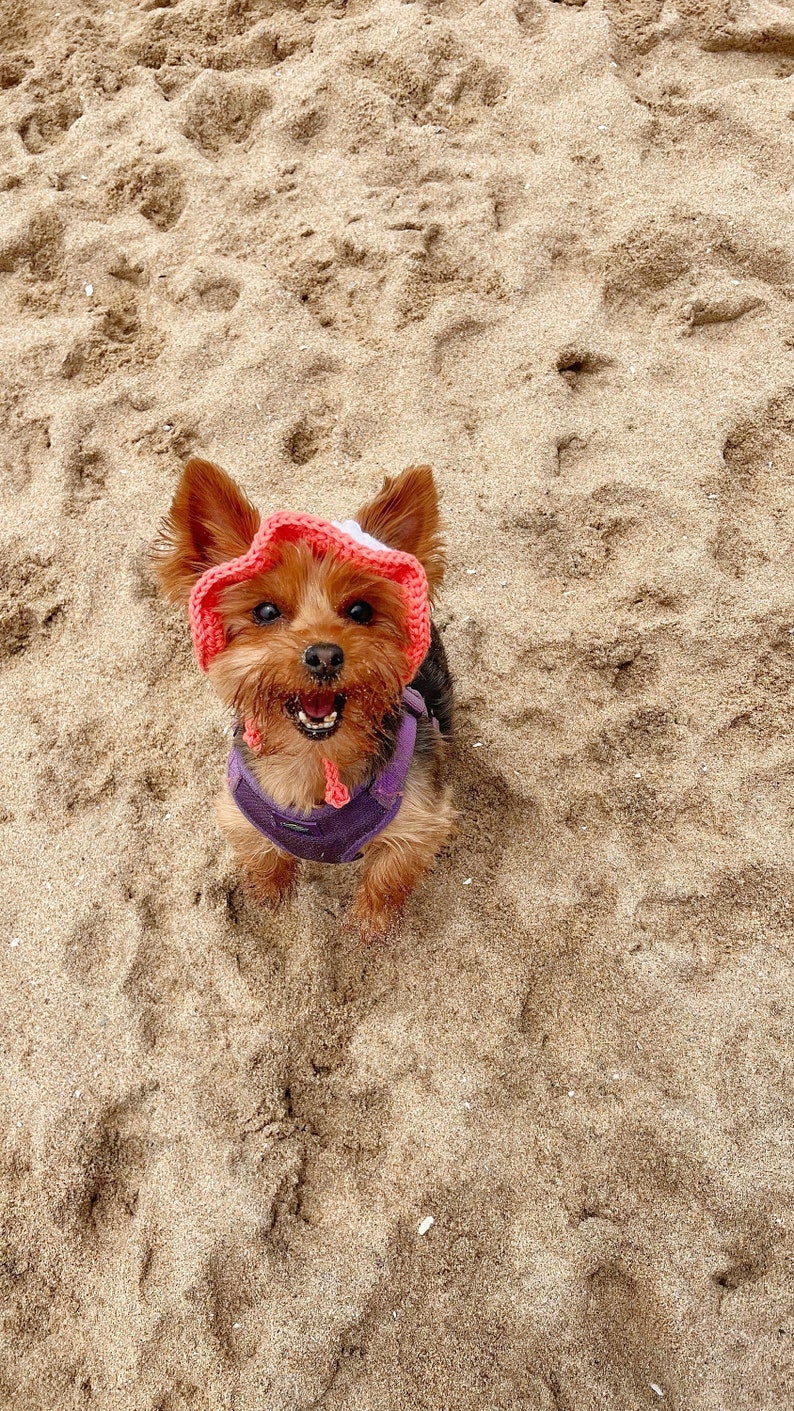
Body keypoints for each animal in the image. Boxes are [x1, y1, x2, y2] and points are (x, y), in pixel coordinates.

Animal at [155, 457, 454, 936]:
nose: (325, 656)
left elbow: (387, 877)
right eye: (265, 611)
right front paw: (268, 898)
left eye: (360, 611)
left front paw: (369, 926)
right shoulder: (239, 812)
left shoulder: (418, 820)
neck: (314, 761)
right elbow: (263, 856)